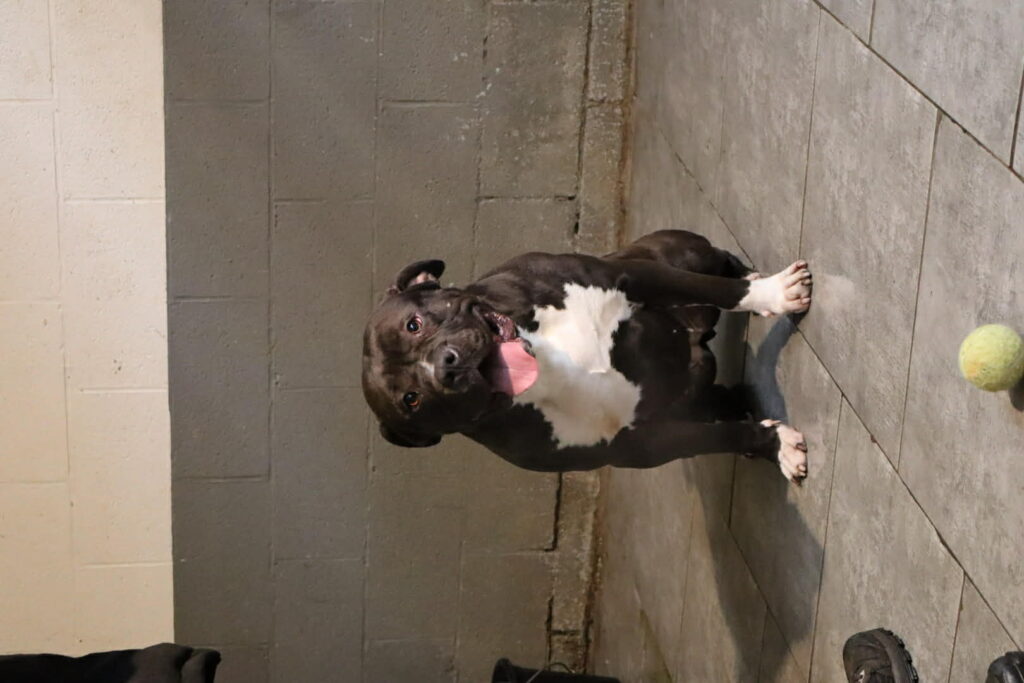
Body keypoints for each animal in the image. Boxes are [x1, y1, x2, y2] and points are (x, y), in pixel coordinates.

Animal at [362, 230, 812, 481]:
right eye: (411, 400)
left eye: (414, 324)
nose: (446, 366)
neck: (547, 364)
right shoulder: (640, 445)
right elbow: (716, 438)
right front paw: (774, 445)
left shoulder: (634, 278)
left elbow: (719, 291)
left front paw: (774, 294)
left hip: (680, 252)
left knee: (716, 268)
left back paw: (752, 278)